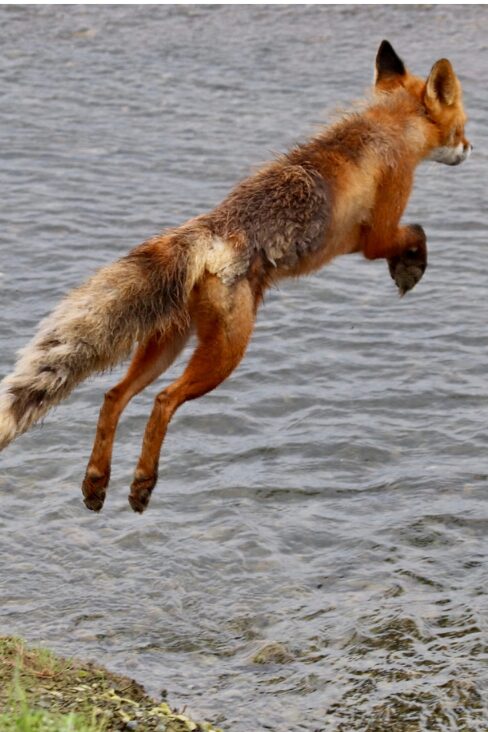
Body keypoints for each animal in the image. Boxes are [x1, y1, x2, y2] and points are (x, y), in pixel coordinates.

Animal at [0, 41, 471, 513]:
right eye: (462, 123)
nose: (469, 147)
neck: (386, 128)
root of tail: (206, 230)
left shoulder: (354, 242)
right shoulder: (377, 232)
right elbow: (415, 233)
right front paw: (409, 268)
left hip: (167, 344)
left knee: (115, 395)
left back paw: (97, 482)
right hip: (226, 351)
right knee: (163, 400)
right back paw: (142, 484)